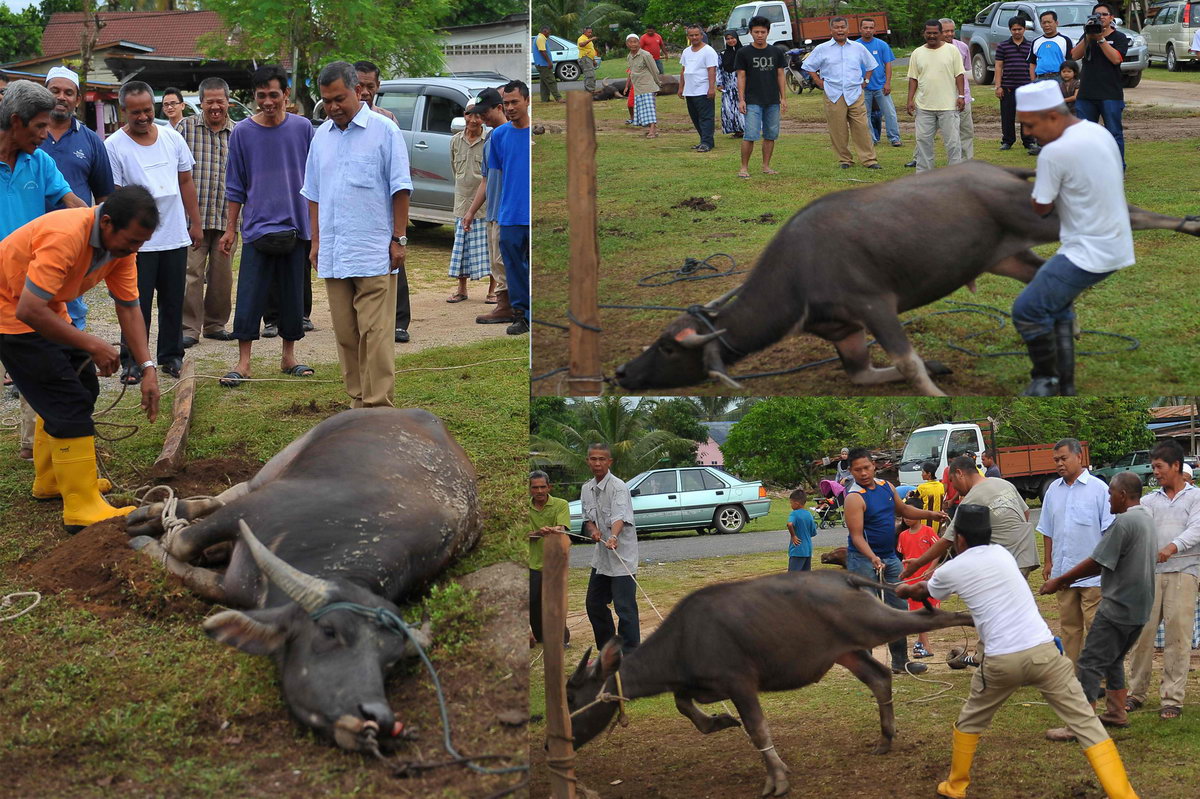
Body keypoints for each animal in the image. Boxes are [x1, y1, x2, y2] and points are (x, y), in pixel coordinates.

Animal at [121, 407, 477, 748]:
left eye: (390, 660)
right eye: (330, 632)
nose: (378, 718)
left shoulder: (237, 584)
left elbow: (200, 576)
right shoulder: (253, 508)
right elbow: (181, 542)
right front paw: (150, 538)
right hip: (280, 463)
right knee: (227, 494)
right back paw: (149, 513)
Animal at [566, 568, 969, 791]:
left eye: (571, 697)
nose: (564, 739)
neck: (682, 639)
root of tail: (843, 577)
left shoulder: (740, 683)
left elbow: (758, 730)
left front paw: (777, 778)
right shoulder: (697, 685)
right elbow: (683, 704)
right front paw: (719, 721)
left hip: (874, 623)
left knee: (943, 617)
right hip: (846, 650)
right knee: (880, 677)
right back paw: (885, 738)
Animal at [619, 160, 1200, 395]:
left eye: (668, 348)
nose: (623, 372)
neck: (796, 276)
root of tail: (999, 170)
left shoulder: (875, 306)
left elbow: (906, 360)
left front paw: (935, 391)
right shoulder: (845, 331)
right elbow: (865, 373)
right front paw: (939, 369)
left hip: (1042, 216)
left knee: (1133, 215)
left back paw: (1187, 224)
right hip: (1001, 255)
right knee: (1043, 282)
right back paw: (1071, 329)